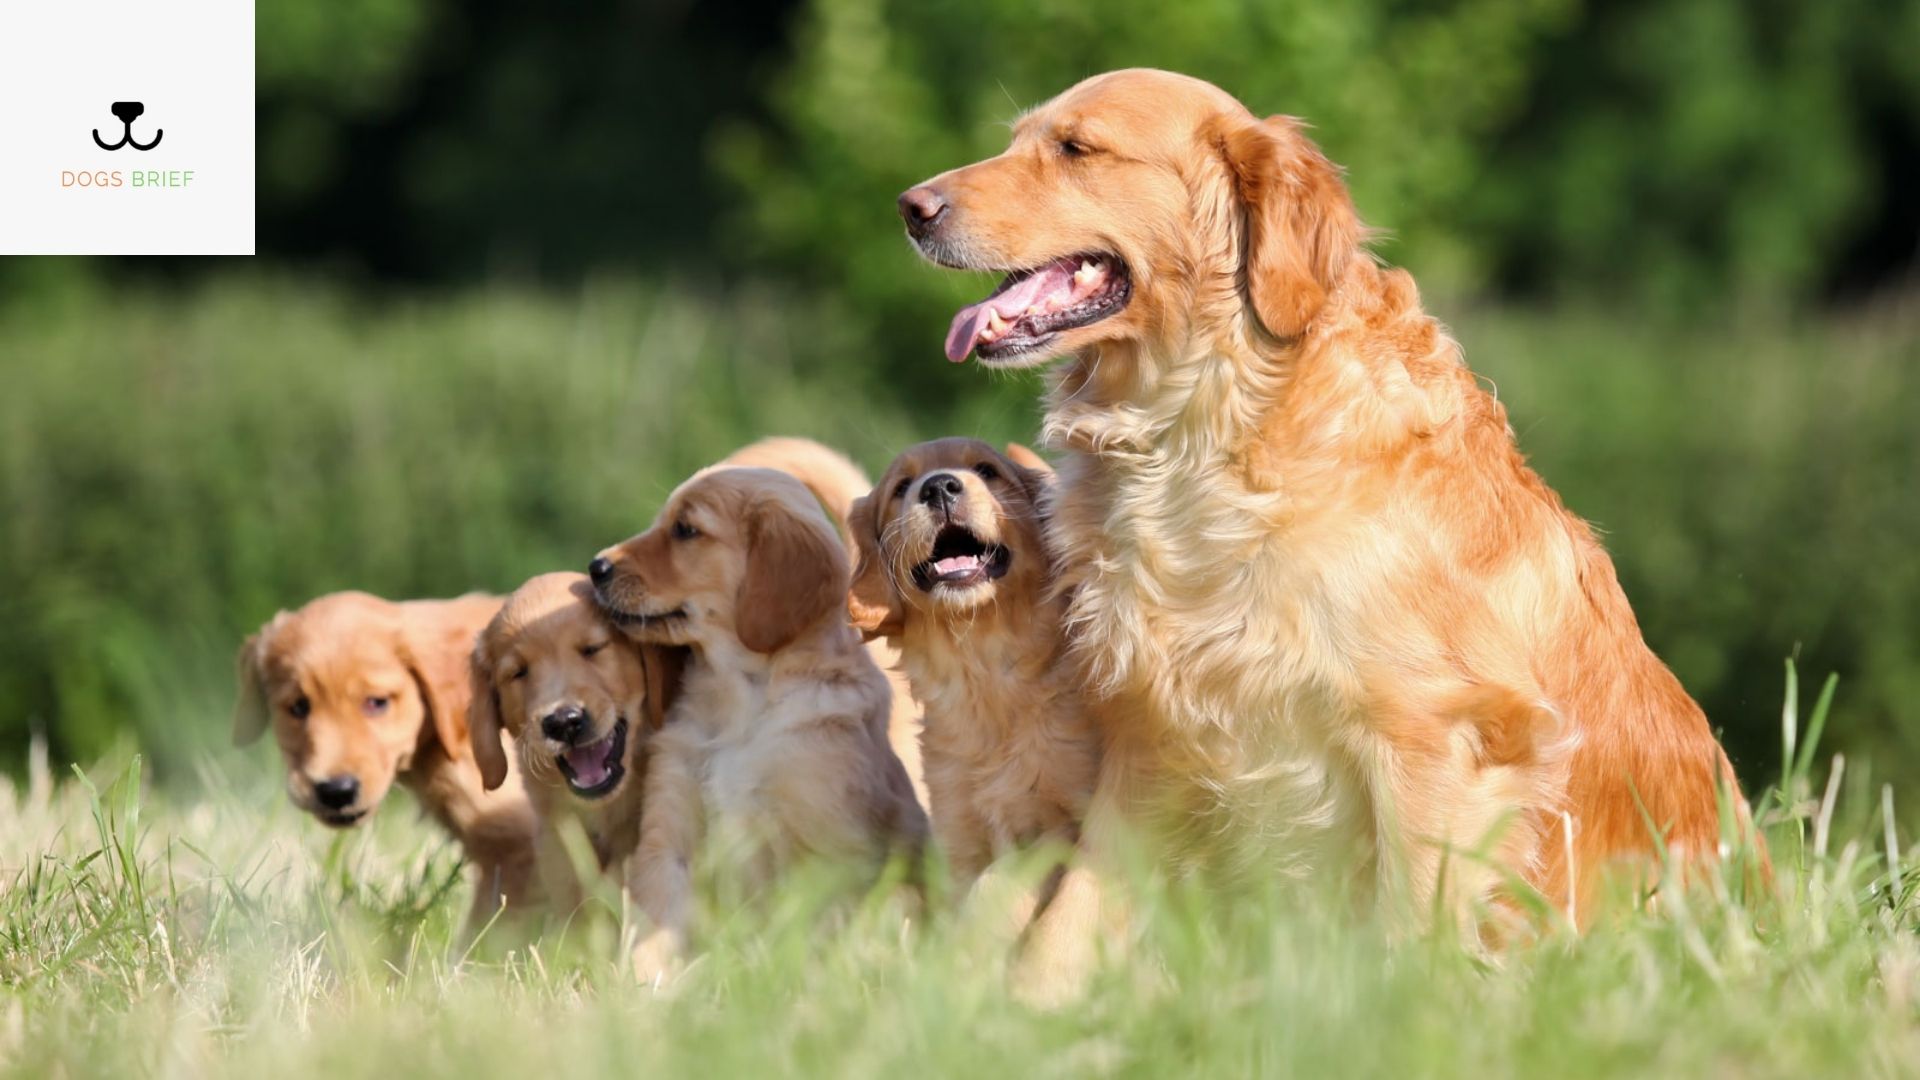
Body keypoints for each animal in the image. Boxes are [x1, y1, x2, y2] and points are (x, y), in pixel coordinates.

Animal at [898, 69, 1758, 949]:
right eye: (1014, 140)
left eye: (1076, 147)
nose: (911, 206)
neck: (1201, 430)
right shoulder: (1151, 737)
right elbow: (1066, 924)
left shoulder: (1432, 739)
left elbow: (1410, 930)